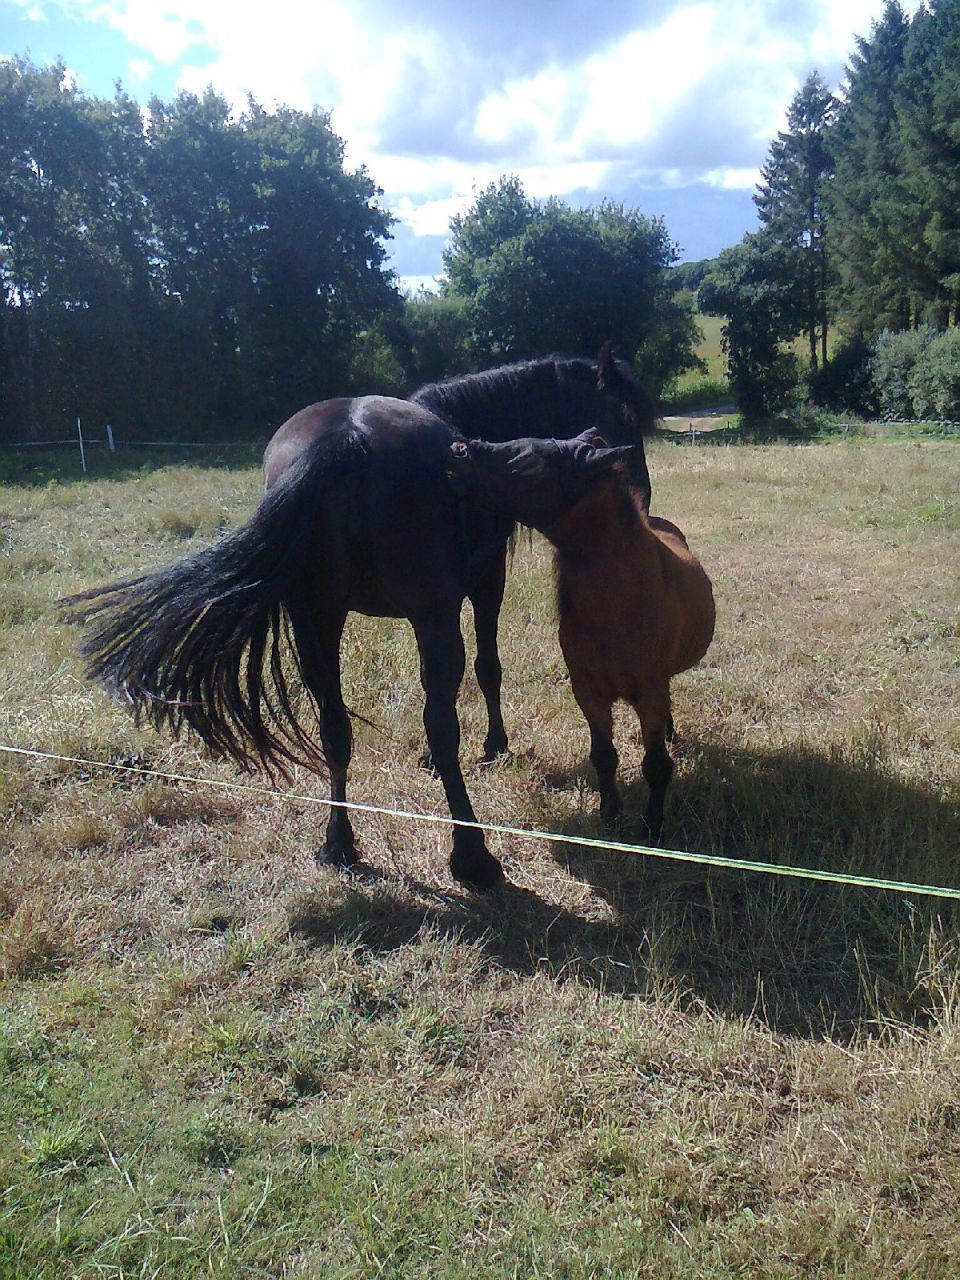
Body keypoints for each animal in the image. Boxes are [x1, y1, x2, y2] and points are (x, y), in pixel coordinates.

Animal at [62, 350, 657, 890]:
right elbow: (488, 670)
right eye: (623, 420)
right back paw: (472, 856)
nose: (642, 498)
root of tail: (344, 439)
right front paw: (494, 747)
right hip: (428, 616)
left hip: (320, 622)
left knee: (335, 729)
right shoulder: (483, 586)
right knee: (439, 723)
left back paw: (340, 844)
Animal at [446, 428, 715, 845]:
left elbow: (655, 764)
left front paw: (651, 828)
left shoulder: (650, 691)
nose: (456, 451)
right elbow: (604, 755)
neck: (620, 604)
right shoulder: (588, 692)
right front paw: (609, 817)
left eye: (528, 462)